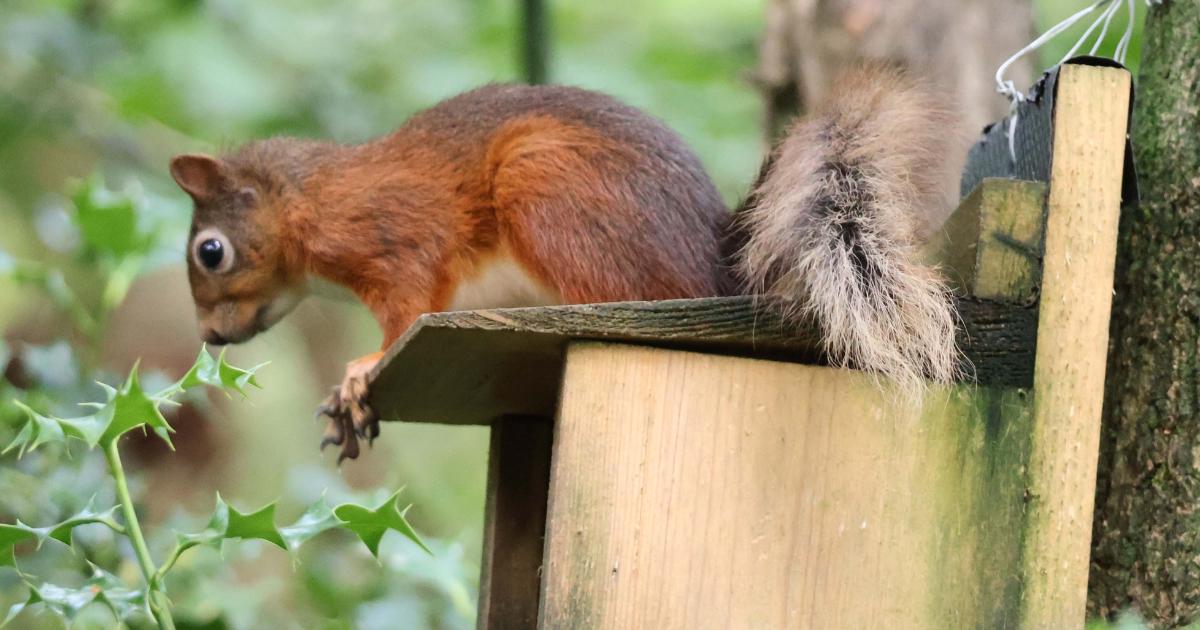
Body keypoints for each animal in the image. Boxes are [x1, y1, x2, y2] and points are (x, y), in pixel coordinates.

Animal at [170, 64, 959, 462]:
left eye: (211, 251)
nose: (210, 336)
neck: (308, 200)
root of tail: (718, 268)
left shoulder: (390, 239)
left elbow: (408, 304)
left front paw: (361, 371)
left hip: (545, 186)